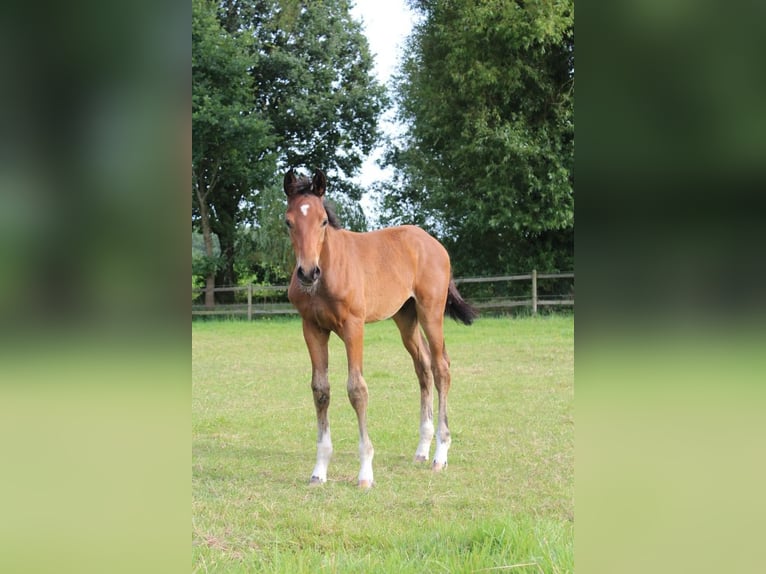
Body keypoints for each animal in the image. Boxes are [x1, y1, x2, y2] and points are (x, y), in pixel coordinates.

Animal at [284, 170, 474, 490]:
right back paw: (422, 449)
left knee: (441, 368)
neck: (328, 271)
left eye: (323, 221)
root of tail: (434, 243)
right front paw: (319, 471)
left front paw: (365, 474)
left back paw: (440, 454)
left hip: (430, 312)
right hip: (405, 318)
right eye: (288, 222)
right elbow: (320, 390)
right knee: (423, 368)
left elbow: (357, 389)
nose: (308, 273)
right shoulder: (312, 327)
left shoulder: (353, 326)